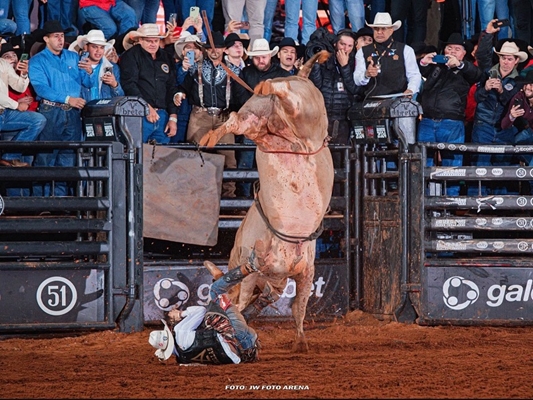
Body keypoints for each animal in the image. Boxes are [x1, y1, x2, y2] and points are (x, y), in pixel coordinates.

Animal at [200, 50, 332, 354]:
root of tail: (301, 77)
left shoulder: (304, 273)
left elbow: (298, 308)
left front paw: (300, 341)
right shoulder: (268, 272)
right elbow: (291, 305)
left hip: (281, 113)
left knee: (252, 111)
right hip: (283, 115)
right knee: (262, 107)